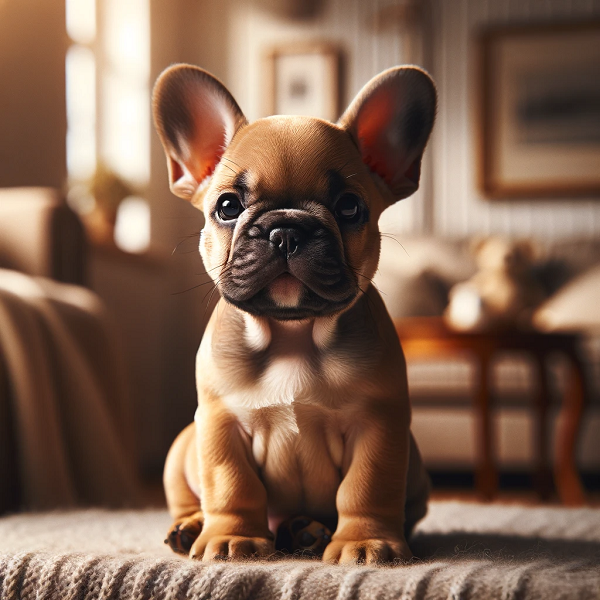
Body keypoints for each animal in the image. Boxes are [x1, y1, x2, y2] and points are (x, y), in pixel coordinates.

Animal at [155, 63, 436, 564]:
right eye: (227, 207)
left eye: (350, 207)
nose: (286, 230)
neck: (294, 333)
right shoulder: (220, 424)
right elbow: (231, 483)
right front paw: (232, 538)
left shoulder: (378, 425)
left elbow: (366, 486)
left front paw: (364, 541)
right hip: (181, 447)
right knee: (191, 496)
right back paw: (193, 527)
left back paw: (306, 531)